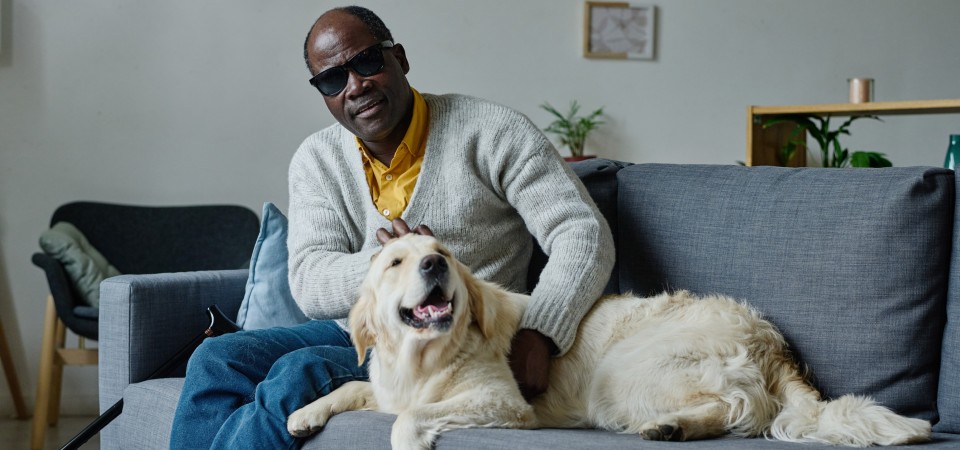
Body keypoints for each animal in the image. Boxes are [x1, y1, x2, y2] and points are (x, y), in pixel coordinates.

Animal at [284, 234, 928, 448]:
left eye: (440, 252)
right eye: (395, 261)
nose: (434, 266)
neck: (423, 358)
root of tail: (771, 336)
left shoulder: (504, 404)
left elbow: (408, 416)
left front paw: (406, 439)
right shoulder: (388, 384)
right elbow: (352, 390)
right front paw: (304, 414)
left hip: (620, 375)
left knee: (741, 409)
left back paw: (672, 426)